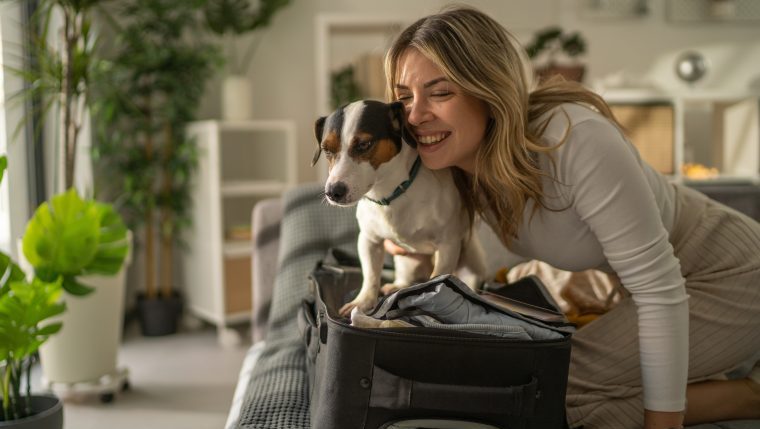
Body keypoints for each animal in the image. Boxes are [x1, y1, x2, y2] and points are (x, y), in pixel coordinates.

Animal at [314, 98, 486, 316]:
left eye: (364, 144)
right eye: (326, 149)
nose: (333, 192)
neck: (390, 194)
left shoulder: (448, 245)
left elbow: (438, 277)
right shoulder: (369, 241)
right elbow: (371, 275)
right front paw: (363, 301)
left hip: (470, 267)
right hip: (405, 262)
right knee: (406, 279)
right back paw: (397, 287)